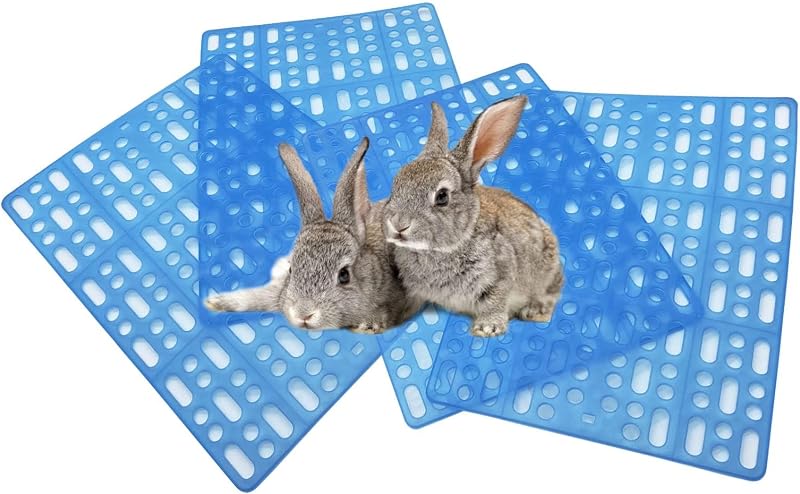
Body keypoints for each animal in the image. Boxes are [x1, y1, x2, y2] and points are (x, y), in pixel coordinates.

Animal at [382, 95, 564, 337]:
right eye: (396, 185)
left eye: (442, 196)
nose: (398, 224)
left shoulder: (500, 276)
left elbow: (494, 301)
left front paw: (487, 328)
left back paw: (535, 312)